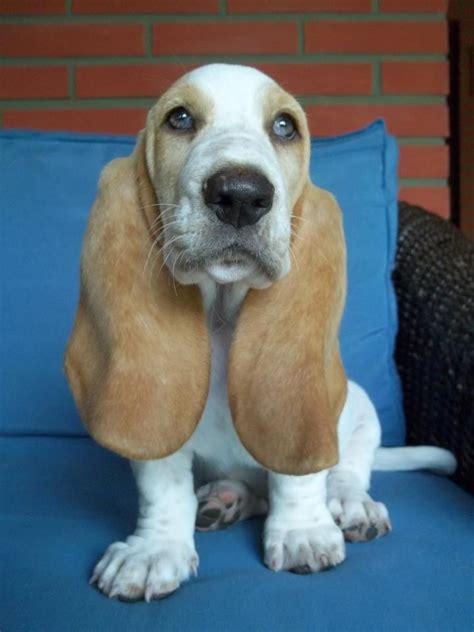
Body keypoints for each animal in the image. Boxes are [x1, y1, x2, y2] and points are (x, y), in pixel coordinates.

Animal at [65, 64, 458, 604]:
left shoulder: (312, 424)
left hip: (360, 408)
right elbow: (163, 488)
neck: (222, 314)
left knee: (350, 469)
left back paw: (351, 506)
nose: (240, 195)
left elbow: (300, 473)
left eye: (285, 126)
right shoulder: (160, 441)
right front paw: (154, 551)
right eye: (179, 118)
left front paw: (302, 532)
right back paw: (223, 500)